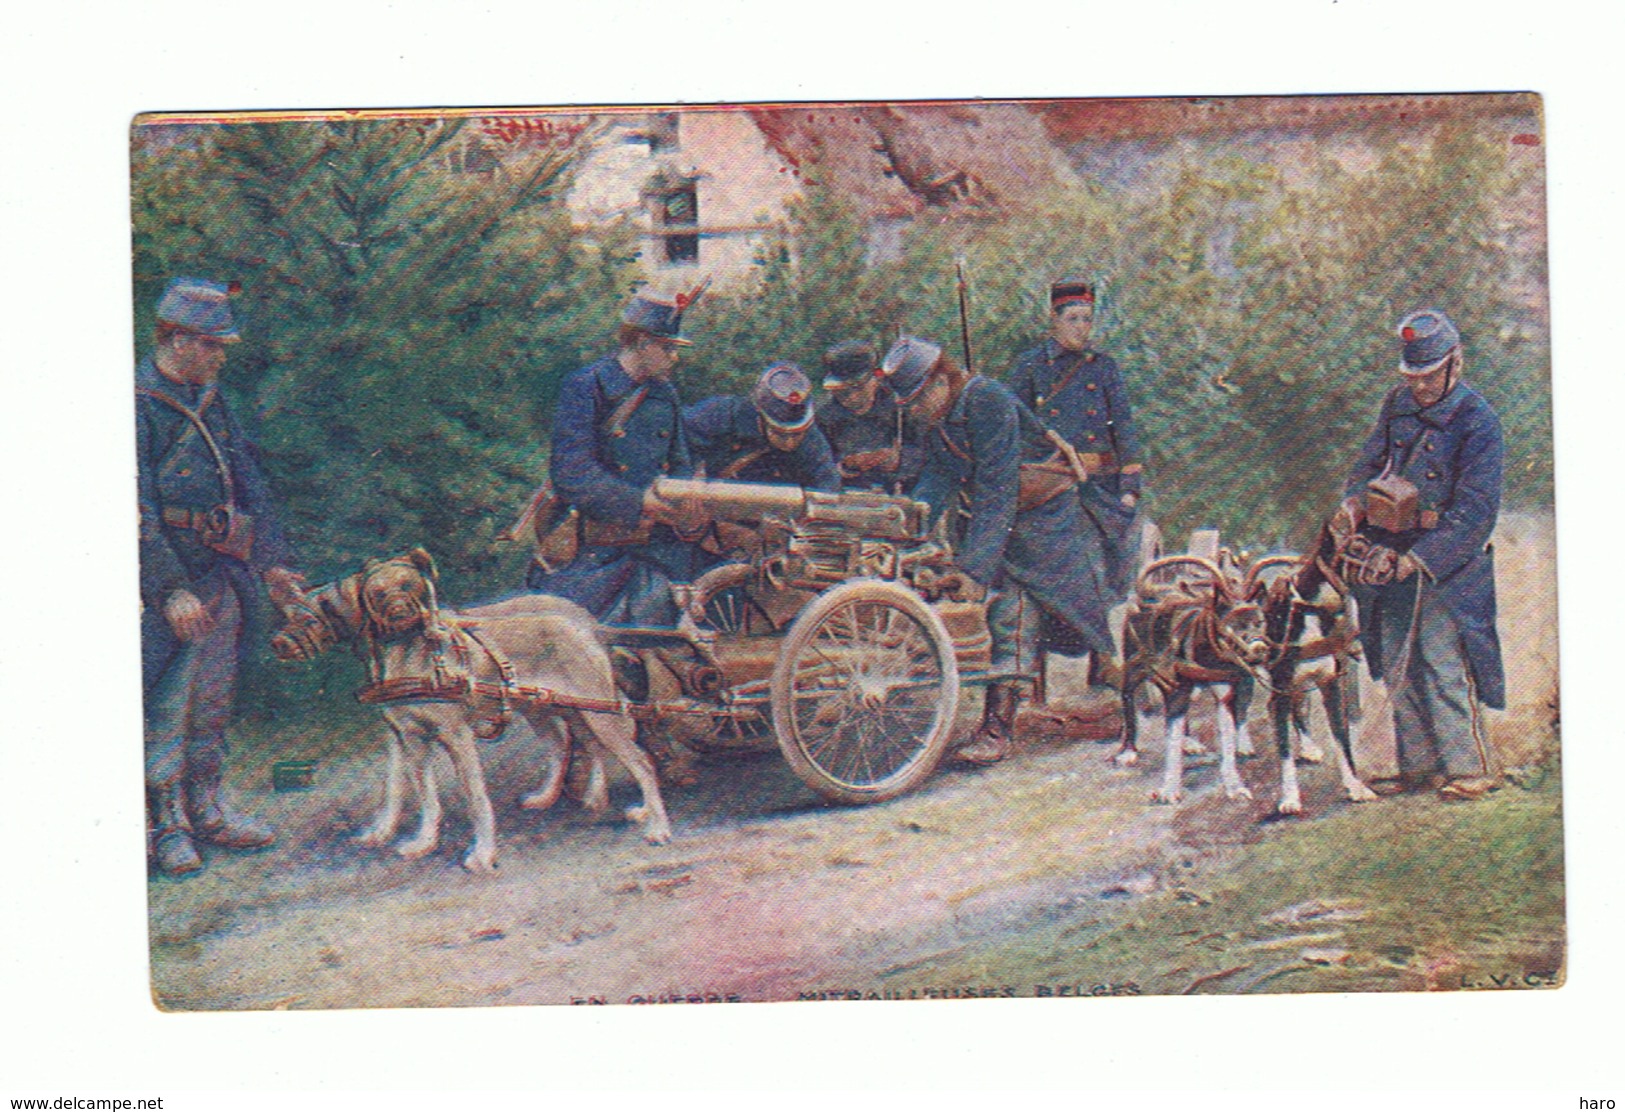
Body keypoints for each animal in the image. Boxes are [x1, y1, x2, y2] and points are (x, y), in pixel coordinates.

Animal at [273, 552, 672, 871]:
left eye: (311, 619)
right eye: (377, 593)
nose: (277, 644)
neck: (409, 653)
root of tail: (588, 626)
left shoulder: (456, 737)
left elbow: (475, 798)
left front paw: (482, 854)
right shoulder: (404, 736)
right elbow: (408, 790)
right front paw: (404, 837)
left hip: (596, 711)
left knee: (638, 758)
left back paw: (656, 824)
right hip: (557, 708)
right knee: (574, 744)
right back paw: (576, 798)